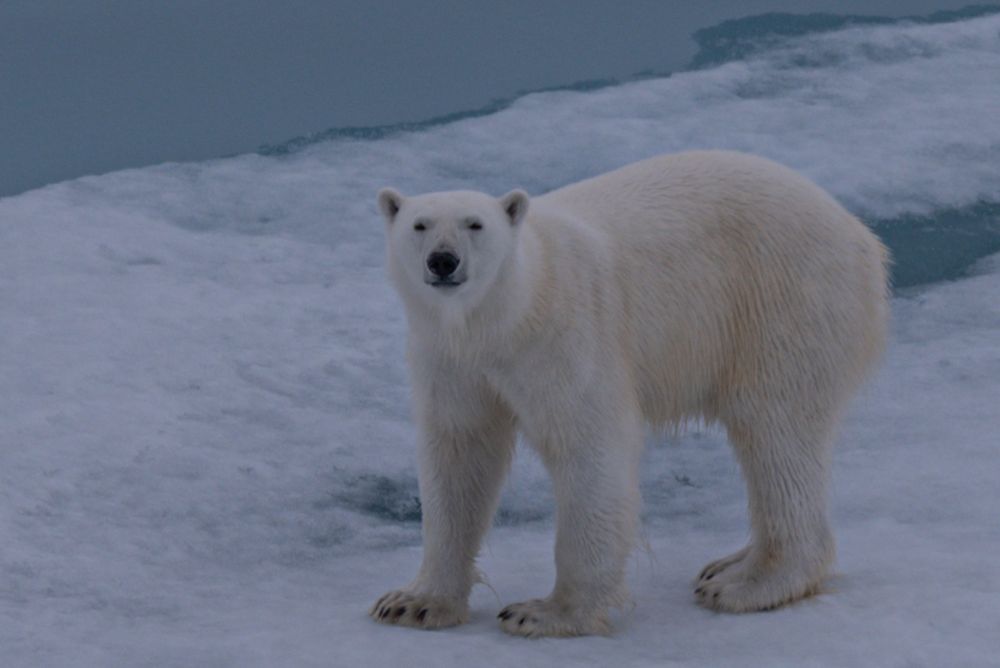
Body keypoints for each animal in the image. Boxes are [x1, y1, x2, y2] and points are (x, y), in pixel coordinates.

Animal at [372, 150, 888, 636]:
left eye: (474, 224)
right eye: (419, 224)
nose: (443, 261)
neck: (507, 316)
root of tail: (860, 235)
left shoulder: (565, 337)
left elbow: (589, 447)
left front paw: (546, 613)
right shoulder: (452, 361)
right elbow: (459, 454)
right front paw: (413, 602)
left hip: (783, 301)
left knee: (775, 432)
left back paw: (747, 584)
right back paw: (727, 565)